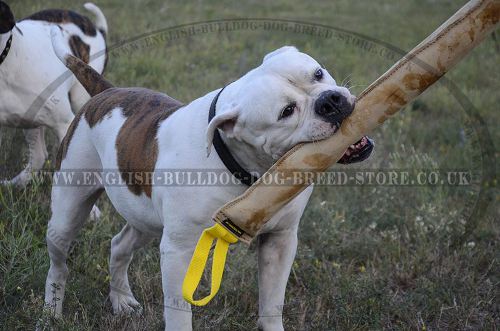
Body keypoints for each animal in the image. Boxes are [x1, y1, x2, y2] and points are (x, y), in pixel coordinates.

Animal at [47, 27, 374, 330]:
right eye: (287, 111)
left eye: (318, 73)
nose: (330, 100)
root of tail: (107, 92)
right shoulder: (179, 251)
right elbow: (178, 311)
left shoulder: (280, 241)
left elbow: (272, 303)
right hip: (68, 210)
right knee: (59, 262)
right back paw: (51, 311)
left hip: (146, 219)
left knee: (119, 244)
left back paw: (121, 300)